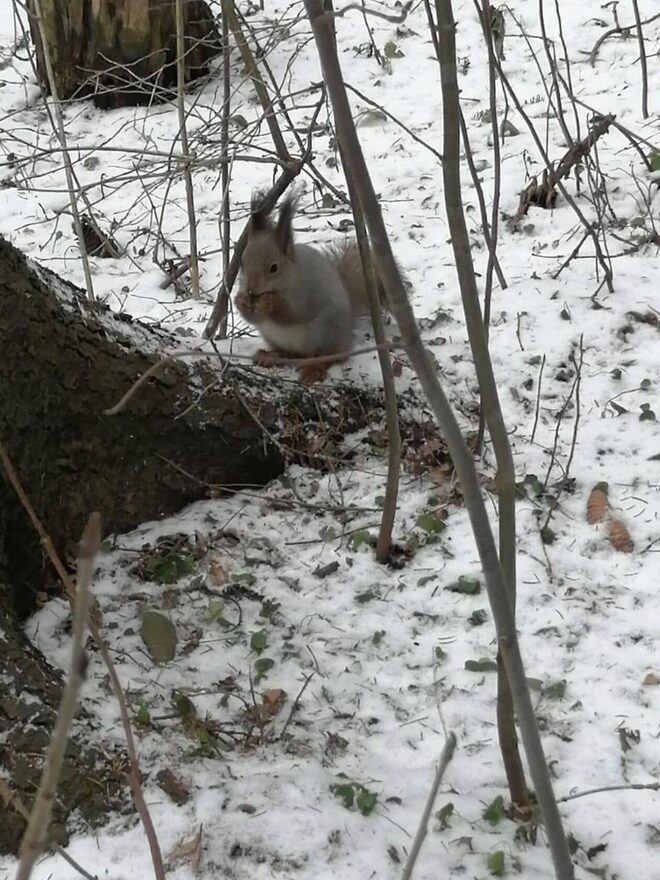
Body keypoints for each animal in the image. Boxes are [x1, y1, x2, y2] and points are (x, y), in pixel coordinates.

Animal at [235, 191, 384, 384]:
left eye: (274, 268)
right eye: (242, 262)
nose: (251, 289)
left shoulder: (306, 293)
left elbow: (292, 313)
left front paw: (270, 302)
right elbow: (253, 318)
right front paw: (241, 301)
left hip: (329, 333)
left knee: (332, 356)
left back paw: (314, 367)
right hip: (275, 337)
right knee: (290, 353)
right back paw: (270, 356)